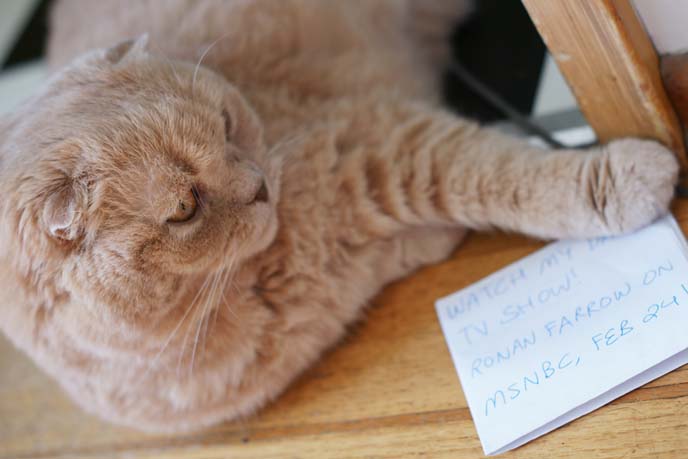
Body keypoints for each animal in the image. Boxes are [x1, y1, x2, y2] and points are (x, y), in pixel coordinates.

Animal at [0, 0, 680, 434]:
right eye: (186, 208)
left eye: (227, 124)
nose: (261, 185)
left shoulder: (382, 141)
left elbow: (503, 174)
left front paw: (630, 175)